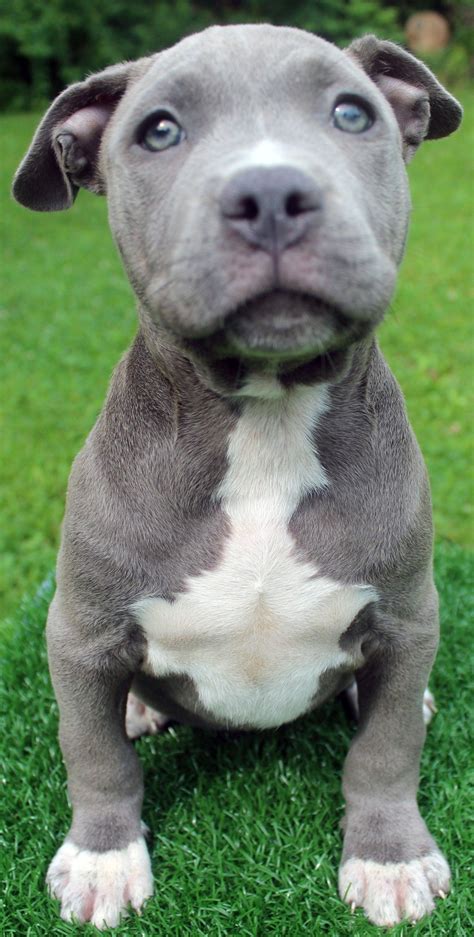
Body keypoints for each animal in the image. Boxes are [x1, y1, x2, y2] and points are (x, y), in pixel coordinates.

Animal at [12, 22, 462, 928]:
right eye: (158, 131)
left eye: (351, 112)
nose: (271, 191)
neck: (265, 418)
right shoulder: (79, 629)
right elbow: (94, 753)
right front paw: (103, 859)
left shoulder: (406, 614)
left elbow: (387, 748)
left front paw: (390, 857)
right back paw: (138, 706)